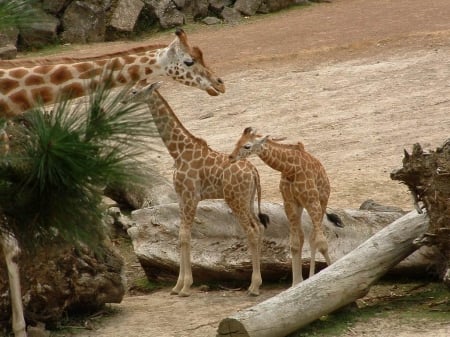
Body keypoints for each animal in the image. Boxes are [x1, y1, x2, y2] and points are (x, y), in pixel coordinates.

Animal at [125, 82, 268, 296]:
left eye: (134, 91)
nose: (123, 100)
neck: (178, 151)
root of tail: (254, 171)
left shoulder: (190, 195)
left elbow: (185, 235)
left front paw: (185, 287)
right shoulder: (181, 196)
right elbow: (181, 236)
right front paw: (177, 286)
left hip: (235, 199)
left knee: (251, 231)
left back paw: (253, 287)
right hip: (247, 199)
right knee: (258, 227)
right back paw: (256, 284)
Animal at [230, 127, 342, 284]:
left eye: (247, 146)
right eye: (237, 142)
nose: (231, 157)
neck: (290, 169)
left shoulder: (312, 200)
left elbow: (322, 243)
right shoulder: (289, 202)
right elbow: (295, 243)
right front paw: (296, 283)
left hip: (322, 200)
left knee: (314, 237)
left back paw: (312, 276)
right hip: (301, 206)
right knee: (304, 236)